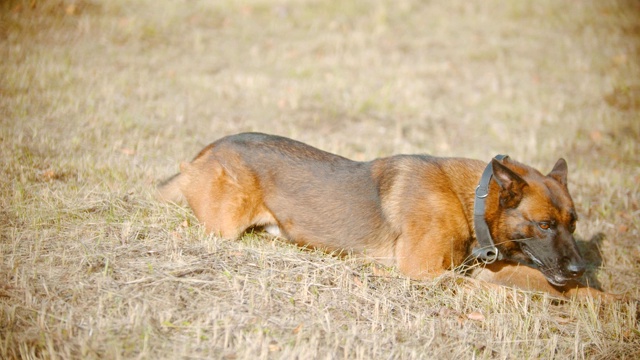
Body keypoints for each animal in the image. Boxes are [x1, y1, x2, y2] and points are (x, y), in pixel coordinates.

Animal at [158, 133, 616, 300]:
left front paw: (607, 301)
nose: (580, 268)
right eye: (544, 225)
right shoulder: (429, 274)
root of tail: (206, 151)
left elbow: (544, 283)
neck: (469, 201)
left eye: (574, 223)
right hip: (226, 224)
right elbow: (538, 293)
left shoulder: (479, 269)